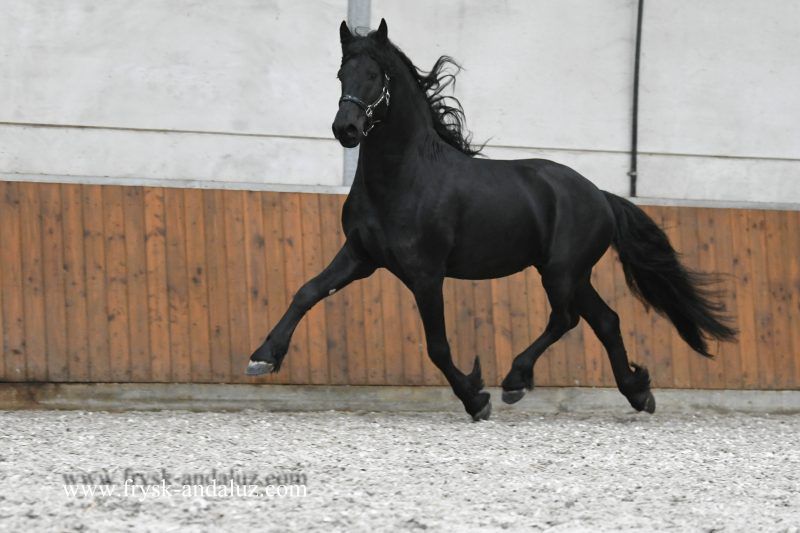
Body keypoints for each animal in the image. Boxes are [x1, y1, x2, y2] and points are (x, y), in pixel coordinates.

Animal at [247, 19, 737, 421]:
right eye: (341, 74)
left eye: (375, 76)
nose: (345, 129)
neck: (405, 178)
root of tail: (600, 195)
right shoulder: (360, 256)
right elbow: (307, 292)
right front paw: (263, 356)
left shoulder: (426, 274)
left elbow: (437, 345)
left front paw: (475, 398)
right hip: (572, 274)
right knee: (606, 320)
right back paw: (637, 393)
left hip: (560, 272)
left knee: (567, 319)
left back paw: (515, 381)